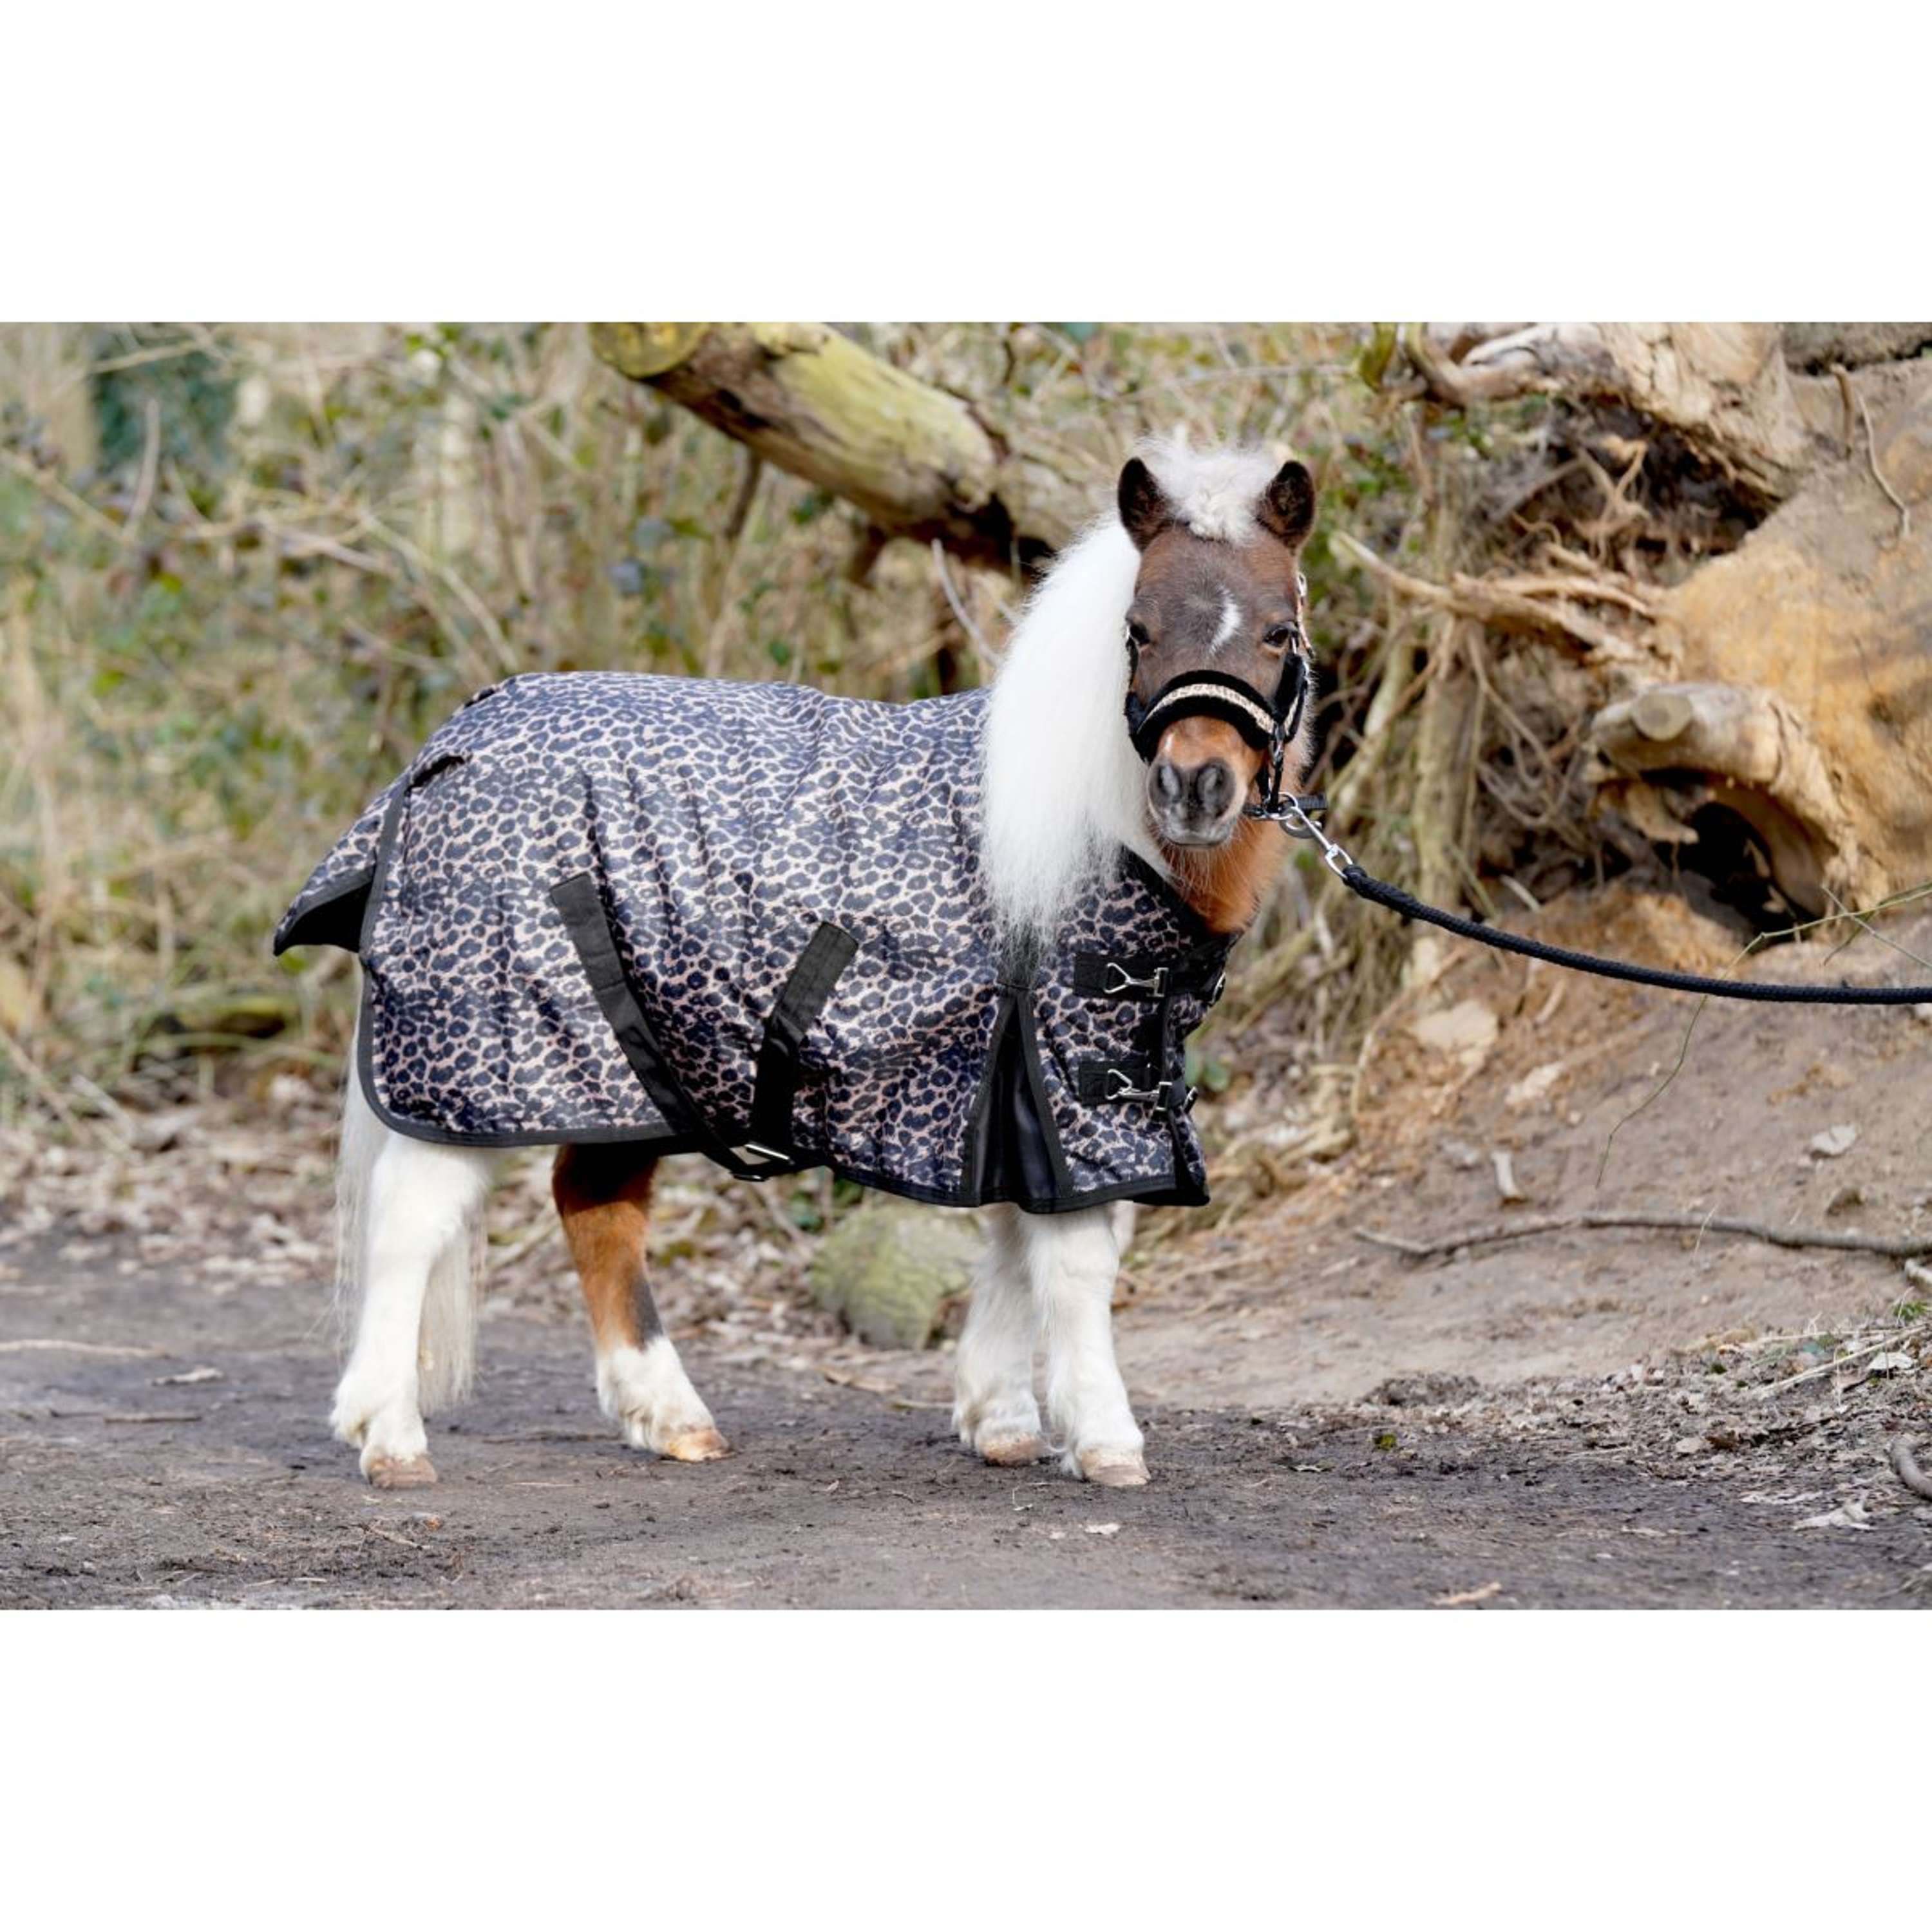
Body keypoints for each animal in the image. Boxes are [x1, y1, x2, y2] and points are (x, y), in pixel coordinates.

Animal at [283, 439, 1318, 1490]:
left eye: (1280, 631)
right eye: (1137, 631)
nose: (1195, 787)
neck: (1076, 815)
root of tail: (454, 743)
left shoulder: (1028, 1078)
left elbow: (1014, 1238)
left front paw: (1002, 1419)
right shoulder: (1070, 1067)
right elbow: (1075, 1256)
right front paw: (1105, 1437)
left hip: (634, 1065)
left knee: (594, 1204)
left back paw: (668, 1416)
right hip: (478, 1055)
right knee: (412, 1219)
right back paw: (390, 1436)